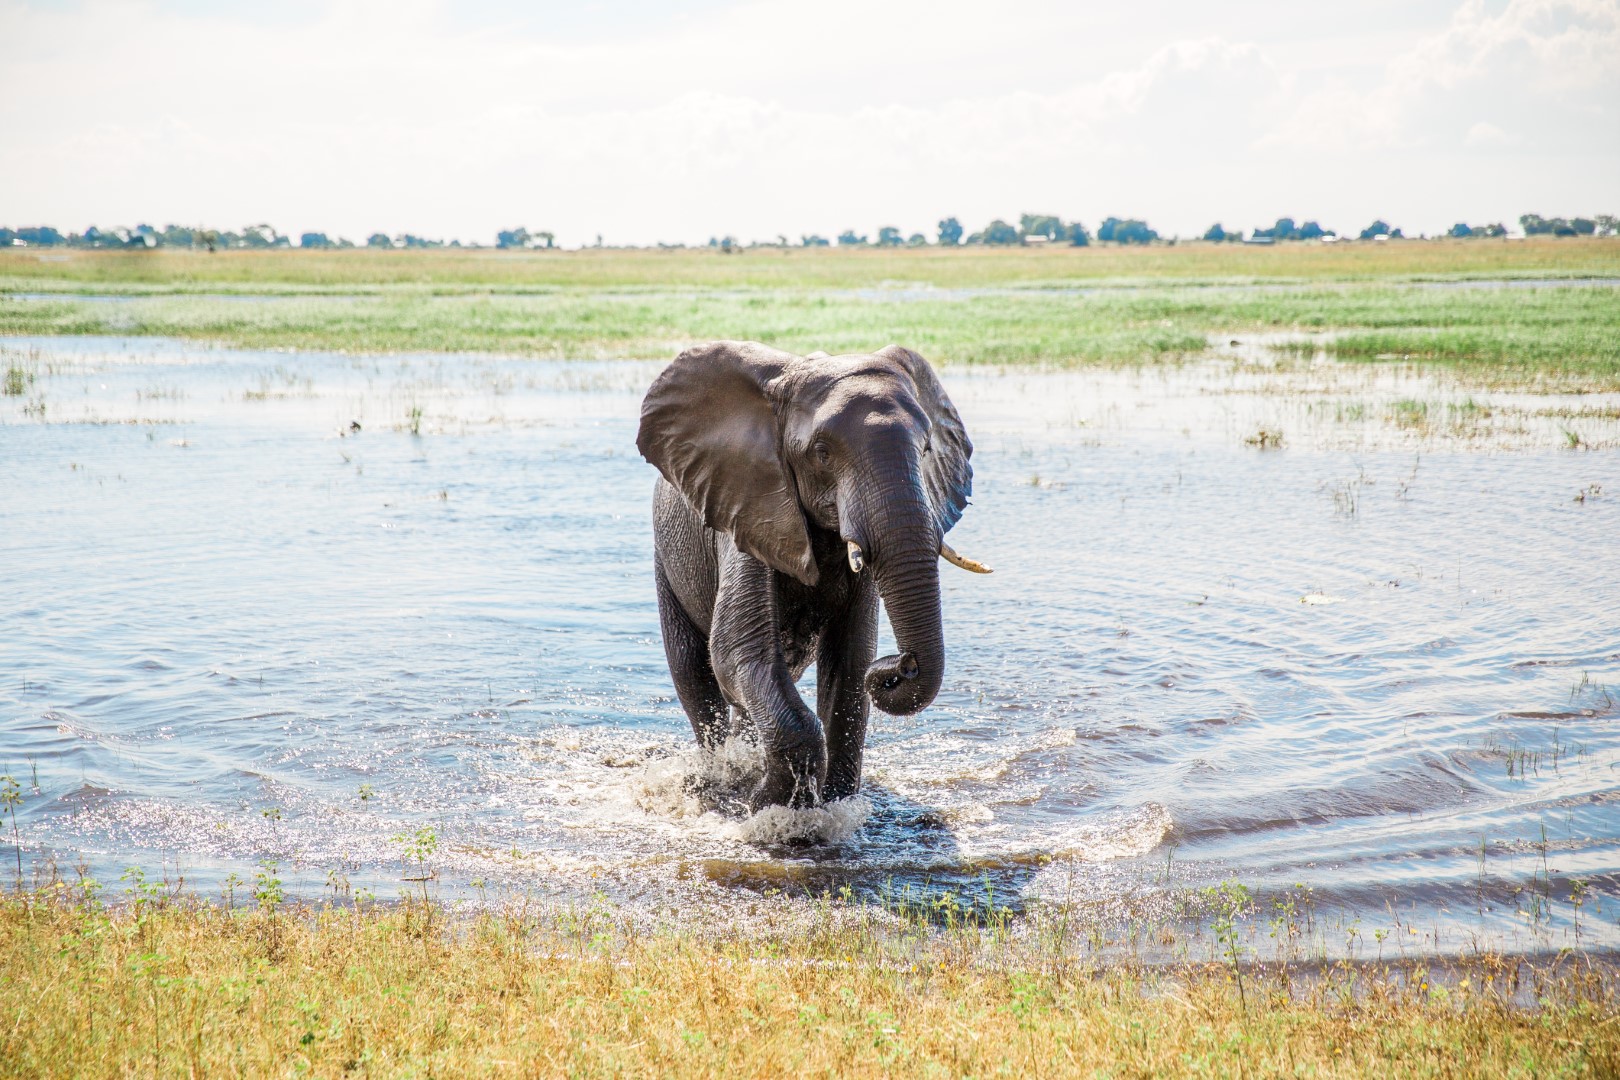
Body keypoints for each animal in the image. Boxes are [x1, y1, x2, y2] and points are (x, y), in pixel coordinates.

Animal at [636, 341, 989, 811]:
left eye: (927, 447)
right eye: (822, 452)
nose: (903, 664)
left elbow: (850, 662)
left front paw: (832, 806)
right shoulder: (748, 508)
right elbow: (735, 650)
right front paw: (769, 806)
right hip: (668, 559)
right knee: (695, 672)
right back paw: (721, 781)